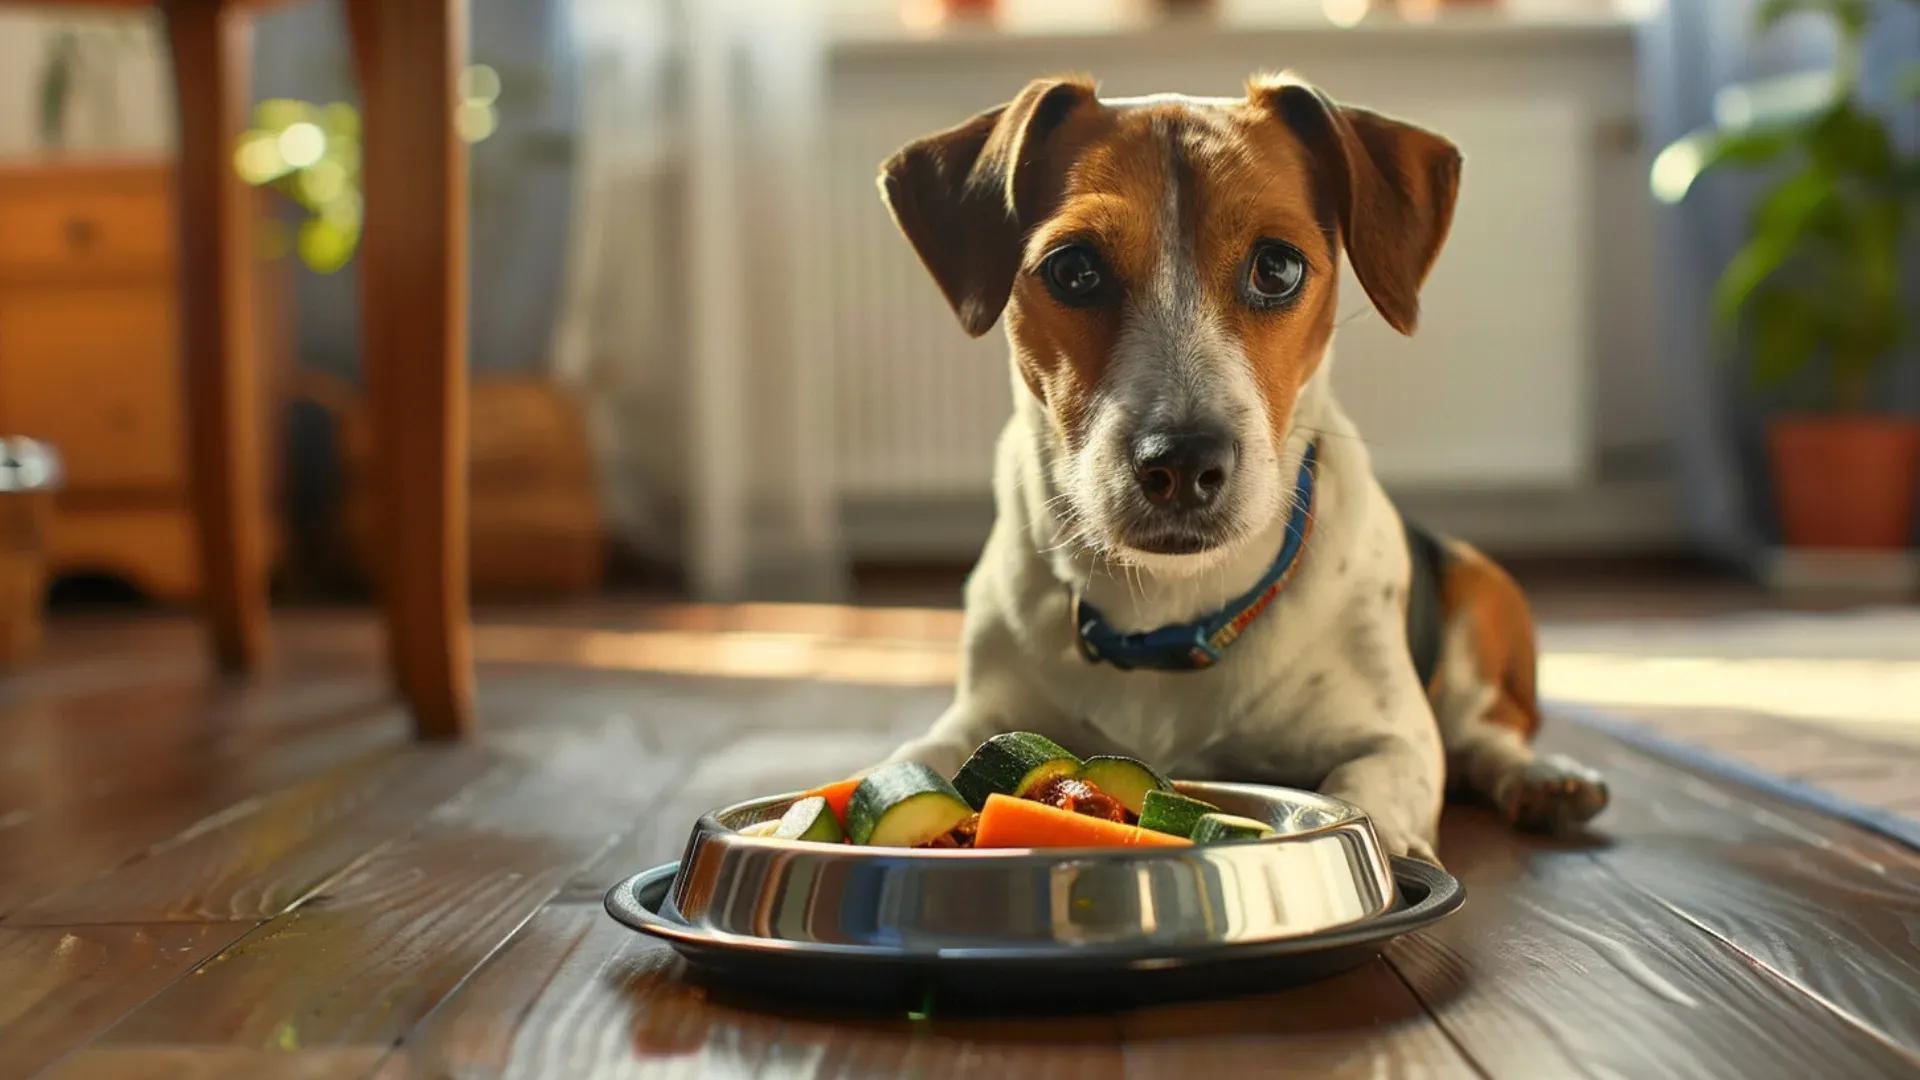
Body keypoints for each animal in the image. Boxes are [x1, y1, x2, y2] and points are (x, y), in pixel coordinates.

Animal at [879, 71, 1612, 857]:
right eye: (1073, 269)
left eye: (1279, 266)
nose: (1181, 463)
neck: (1168, 607)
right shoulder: (977, 717)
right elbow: (914, 759)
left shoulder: (1394, 739)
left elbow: (1371, 786)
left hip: (1481, 585)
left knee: (1485, 731)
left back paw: (1543, 776)